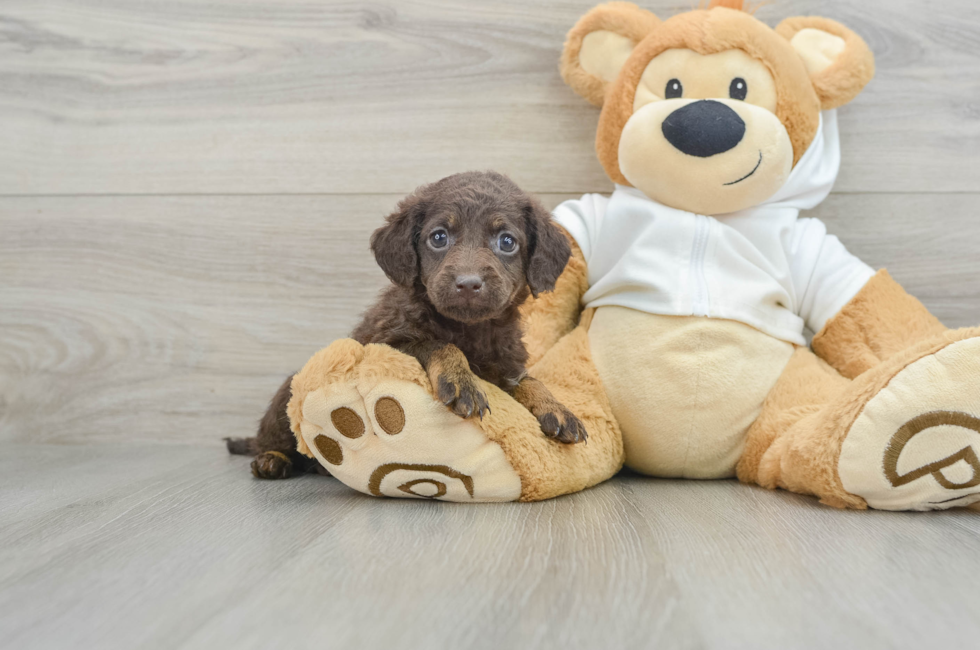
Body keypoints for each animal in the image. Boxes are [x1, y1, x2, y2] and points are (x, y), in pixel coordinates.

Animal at [229, 170, 580, 478]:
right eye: (439, 237)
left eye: (507, 242)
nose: (468, 284)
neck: (470, 328)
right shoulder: (389, 341)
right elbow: (440, 344)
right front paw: (463, 381)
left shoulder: (506, 367)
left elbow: (530, 381)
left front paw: (556, 408)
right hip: (286, 396)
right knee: (272, 439)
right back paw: (271, 460)